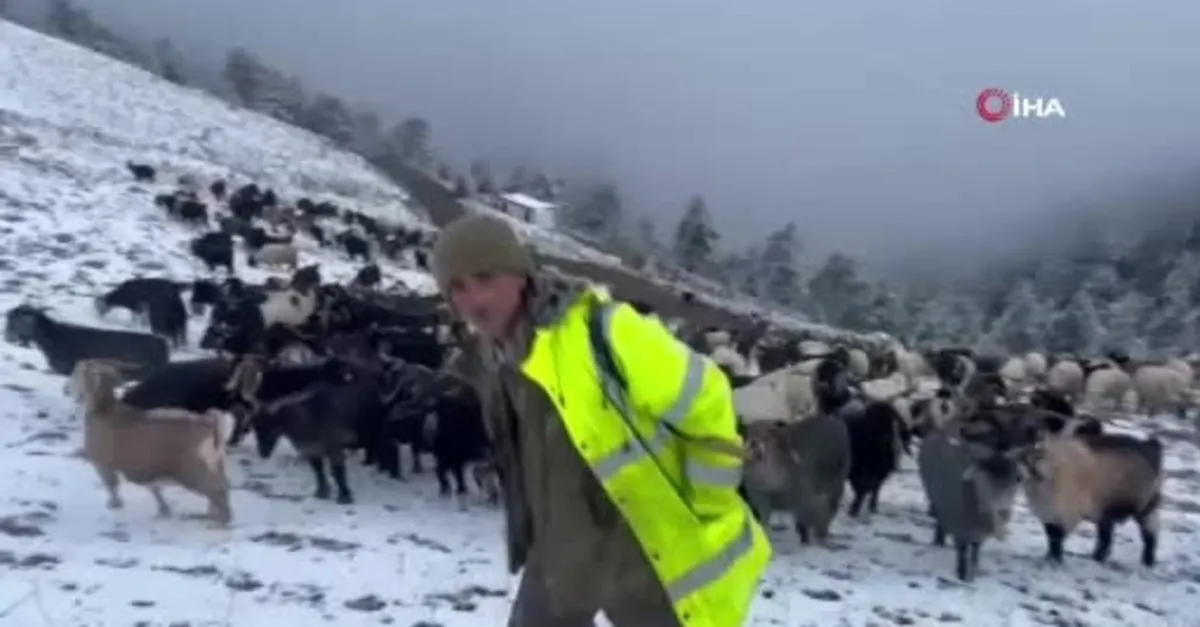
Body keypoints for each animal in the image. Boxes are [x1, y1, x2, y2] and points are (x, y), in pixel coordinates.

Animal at [70, 357, 234, 523]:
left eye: (77, 374)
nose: (67, 389)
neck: (105, 411)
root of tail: (211, 423)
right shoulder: (147, 467)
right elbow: (154, 488)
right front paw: (163, 509)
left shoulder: (102, 463)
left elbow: (112, 485)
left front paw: (115, 504)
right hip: (215, 464)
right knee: (222, 487)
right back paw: (212, 514)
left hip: (195, 470)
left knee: (217, 491)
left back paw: (218, 520)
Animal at [1022, 422, 1161, 564]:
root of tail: (1150, 445)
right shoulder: (1047, 513)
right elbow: (1051, 535)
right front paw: (1049, 557)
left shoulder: (1067, 512)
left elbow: (1057, 537)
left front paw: (1055, 560)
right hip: (1108, 511)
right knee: (1107, 536)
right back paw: (1099, 557)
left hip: (1144, 506)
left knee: (1149, 533)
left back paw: (1147, 560)